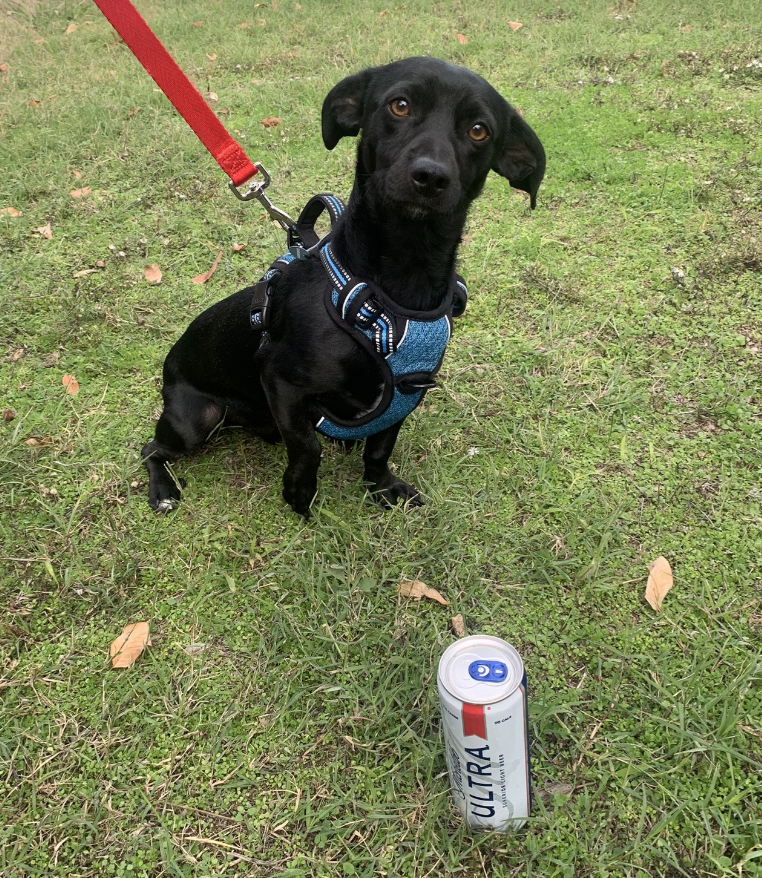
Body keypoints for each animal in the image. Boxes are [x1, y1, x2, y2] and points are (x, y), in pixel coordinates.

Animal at [142, 56, 544, 516]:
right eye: (400, 105)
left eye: (479, 130)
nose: (430, 176)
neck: (398, 285)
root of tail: (169, 362)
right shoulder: (280, 381)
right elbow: (307, 447)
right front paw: (299, 494)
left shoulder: (407, 394)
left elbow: (380, 447)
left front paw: (381, 486)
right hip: (198, 418)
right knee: (150, 449)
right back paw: (163, 490)